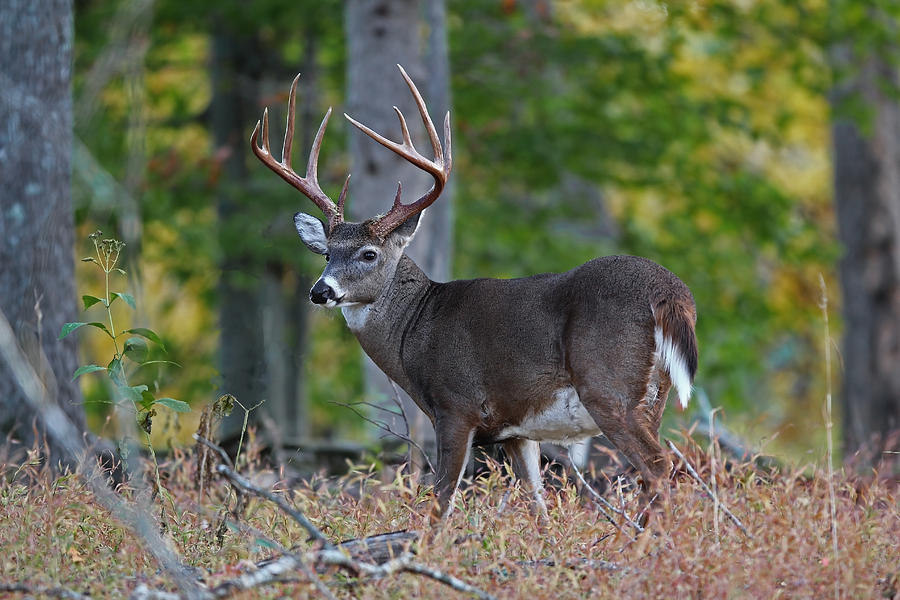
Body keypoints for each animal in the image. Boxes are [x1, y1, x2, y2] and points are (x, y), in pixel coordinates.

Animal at [250, 65, 700, 524]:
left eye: (368, 253)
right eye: (326, 253)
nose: (320, 291)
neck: (416, 329)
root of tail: (671, 292)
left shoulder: (454, 405)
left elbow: (441, 501)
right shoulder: (515, 430)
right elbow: (537, 504)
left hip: (608, 387)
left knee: (659, 467)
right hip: (655, 397)